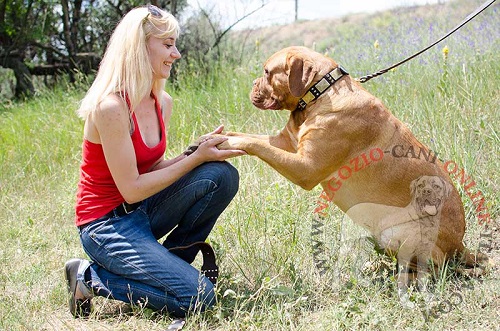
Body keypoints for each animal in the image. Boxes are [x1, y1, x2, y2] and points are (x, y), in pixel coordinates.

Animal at [216, 46, 488, 280]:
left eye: (266, 72)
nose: (252, 85)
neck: (320, 92)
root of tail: (459, 245)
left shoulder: (305, 168)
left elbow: (256, 144)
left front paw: (225, 142)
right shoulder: (287, 143)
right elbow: (251, 136)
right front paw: (218, 136)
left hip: (397, 233)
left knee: (434, 269)